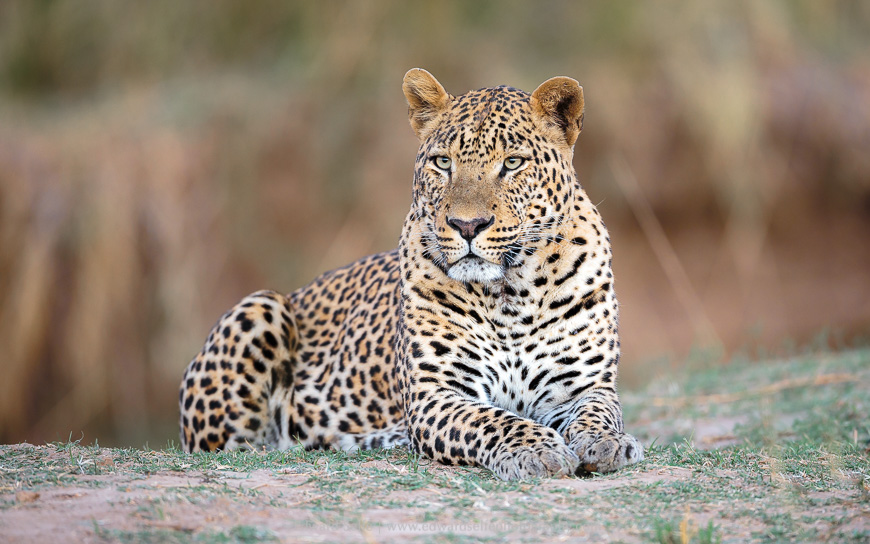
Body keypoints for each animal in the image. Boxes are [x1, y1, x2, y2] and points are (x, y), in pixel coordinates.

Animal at [179, 68, 644, 480]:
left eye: (513, 163)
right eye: (443, 162)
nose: (467, 226)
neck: (511, 291)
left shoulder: (583, 386)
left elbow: (598, 413)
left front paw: (607, 443)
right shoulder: (436, 395)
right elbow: (492, 420)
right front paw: (535, 449)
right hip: (259, 308)